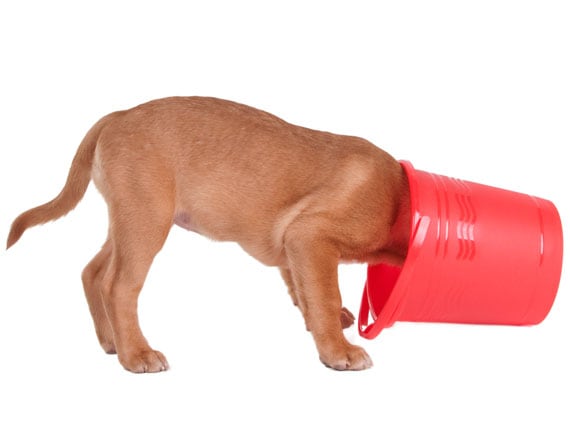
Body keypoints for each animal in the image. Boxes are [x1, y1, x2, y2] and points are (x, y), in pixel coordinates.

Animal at [7, 97, 411, 373]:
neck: (397, 195)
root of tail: (117, 116)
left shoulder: (294, 248)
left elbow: (305, 293)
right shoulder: (310, 237)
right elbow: (324, 296)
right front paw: (339, 351)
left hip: (130, 220)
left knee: (92, 271)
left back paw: (112, 343)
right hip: (146, 223)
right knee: (118, 285)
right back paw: (136, 354)